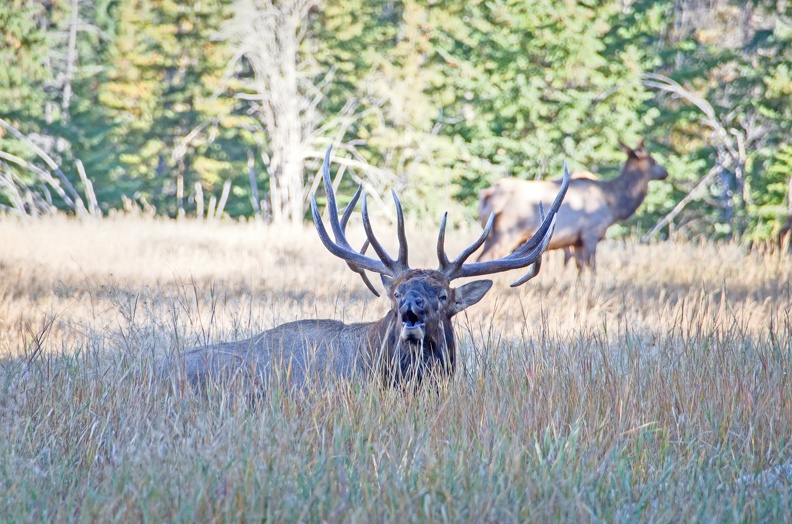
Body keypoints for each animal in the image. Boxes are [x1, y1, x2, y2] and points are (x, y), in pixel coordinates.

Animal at [476, 139, 668, 270]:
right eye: (653, 161)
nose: (665, 172)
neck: (613, 204)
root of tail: (487, 194)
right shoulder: (590, 233)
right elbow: (592, 267)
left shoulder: (577, 241)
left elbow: (580, 268)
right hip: (506, 234)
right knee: (484, 259)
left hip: (492, 235)